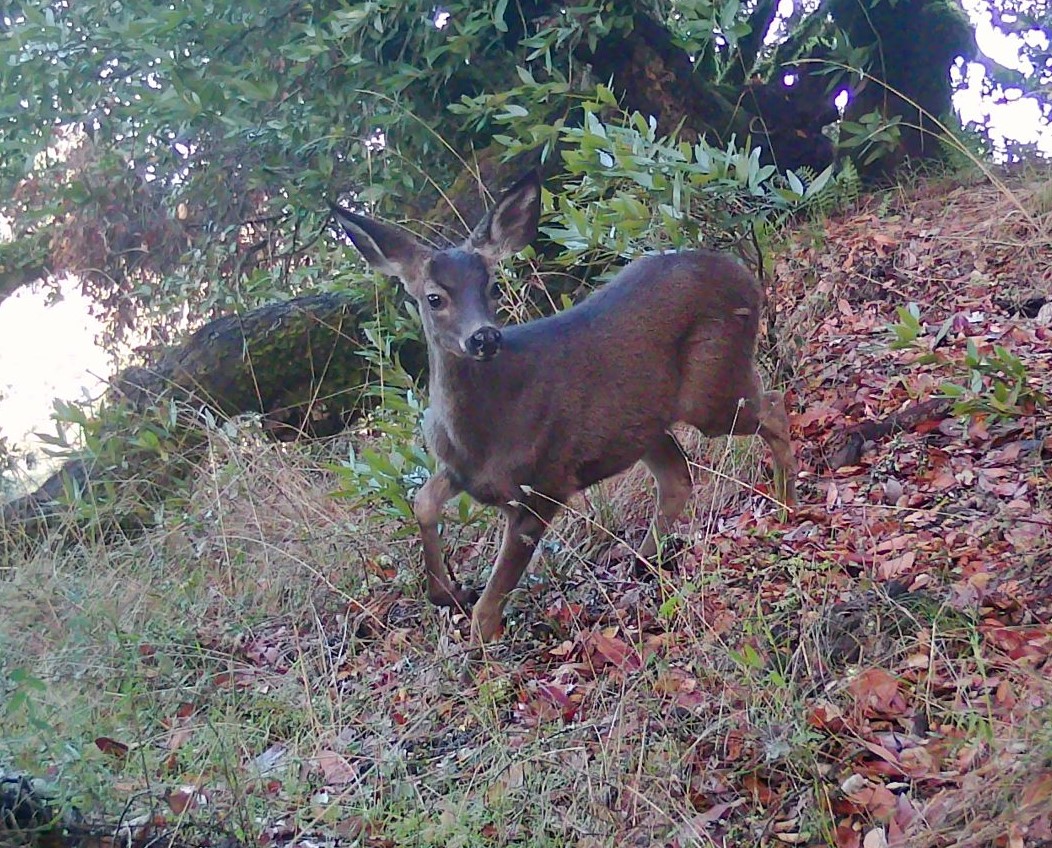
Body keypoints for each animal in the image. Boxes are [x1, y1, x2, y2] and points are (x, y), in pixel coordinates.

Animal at [332, 172, 798, 644]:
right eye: (433, 297)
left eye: (492, 286)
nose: (484, 337)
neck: (481, 435)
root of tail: (746, 276)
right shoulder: (464, 471)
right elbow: (422, 501)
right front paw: (446, 591)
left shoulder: (547, 480)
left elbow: (490, 603)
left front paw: (478, 644)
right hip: (641, 422)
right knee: (678, 476)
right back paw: (644, 562)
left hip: (711, 388)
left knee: (773, 406)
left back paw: (786, 505)